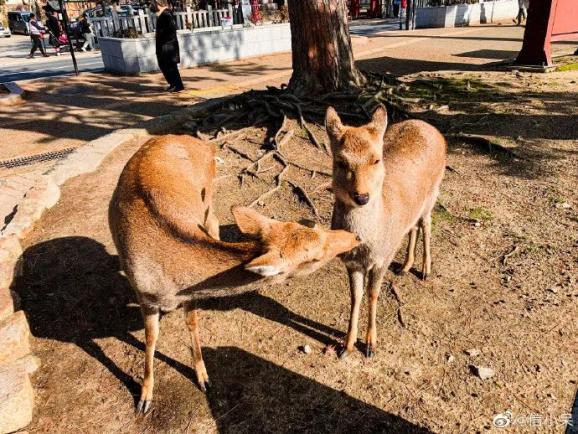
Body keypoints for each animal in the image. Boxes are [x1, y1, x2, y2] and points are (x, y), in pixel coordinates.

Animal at [109, 134, 358, 412]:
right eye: (313, 258)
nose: (353, 237)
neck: (170, 284)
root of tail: (200, 142)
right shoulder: (143, 295)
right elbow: (151, 337)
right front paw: (144, 398)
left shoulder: (187, 294)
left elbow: (191, 323)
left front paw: (204, 378)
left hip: (206, 201)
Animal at [324, 106, 446, 360]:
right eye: (340, 161)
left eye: (376, 159)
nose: (362, 197)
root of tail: (431, 127)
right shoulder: (351, 263)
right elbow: (355, 296)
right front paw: (346, 346)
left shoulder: (382, 259)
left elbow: (373, 294)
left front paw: (371, 345)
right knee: (413, 226)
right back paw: (405, 266)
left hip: (434, 191)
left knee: (427, 223)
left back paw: (425, 270)